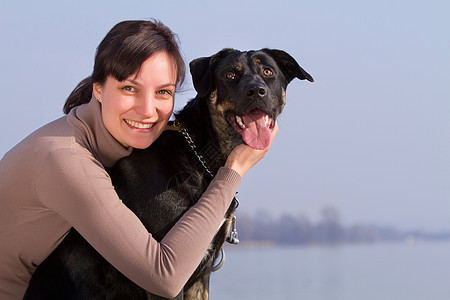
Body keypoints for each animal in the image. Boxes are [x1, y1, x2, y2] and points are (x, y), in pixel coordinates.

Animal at [24, 48, 312, 298]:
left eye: (268, 72)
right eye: (231, 75)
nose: (256, 90)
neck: (201, 157)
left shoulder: (201, 275)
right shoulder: (163, 272)